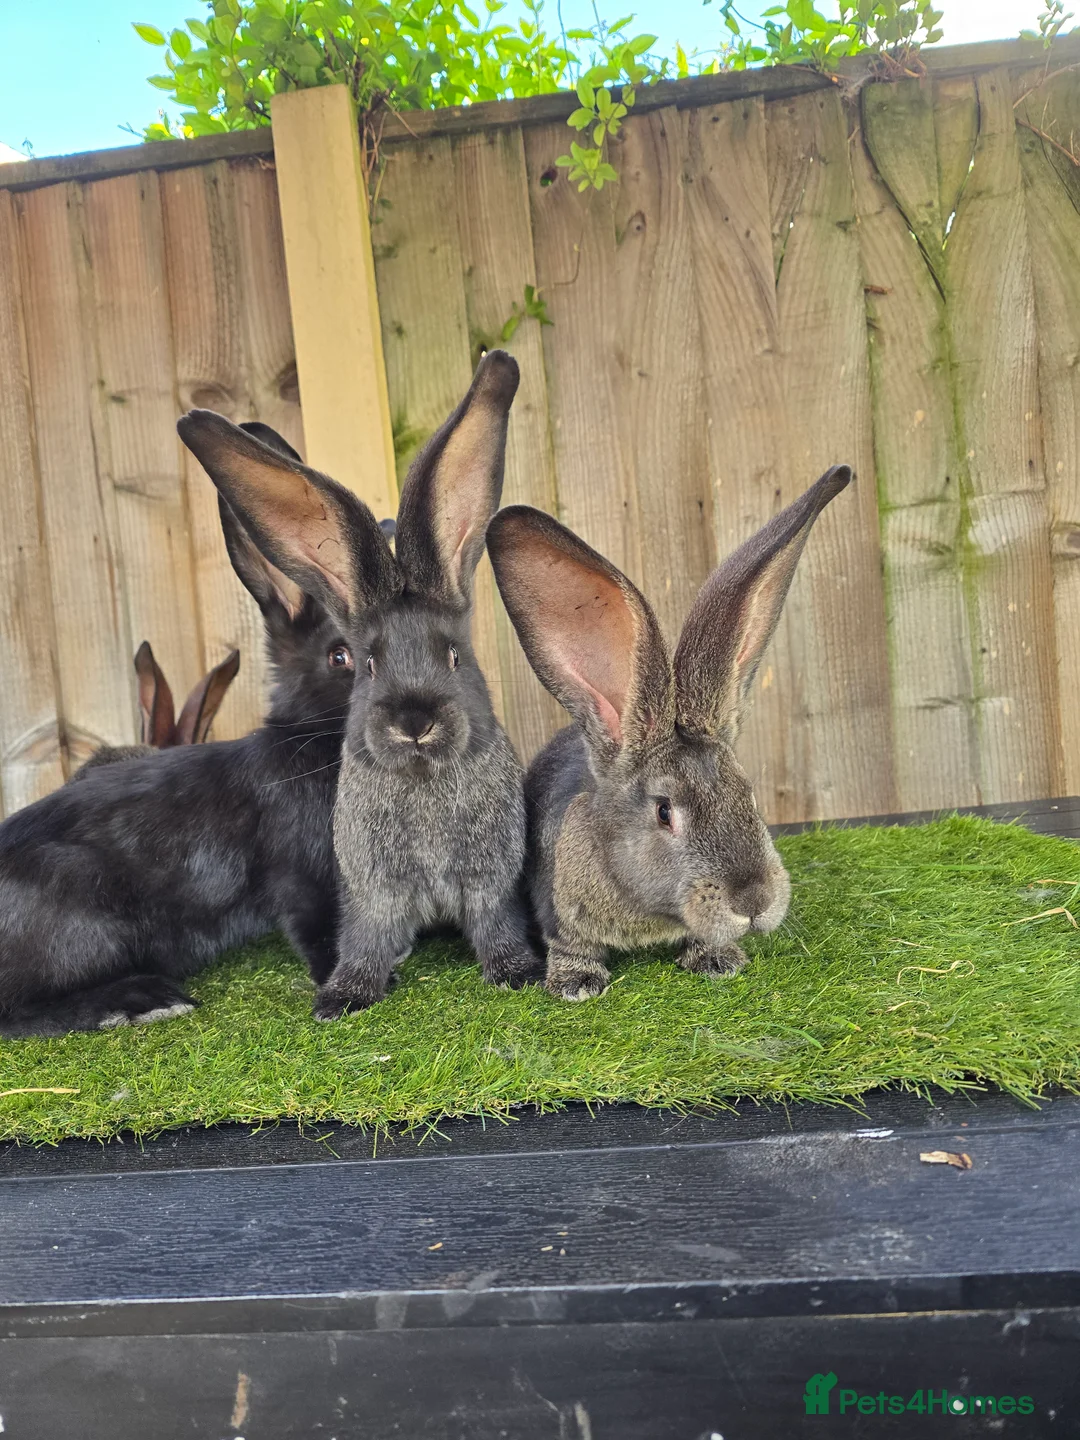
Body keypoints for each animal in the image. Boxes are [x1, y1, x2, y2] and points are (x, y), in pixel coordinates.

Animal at [177, 349, 538, 1018]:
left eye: (454, 656)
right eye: (366, 663)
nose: (415, 722)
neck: (422, 780)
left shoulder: (489, 881)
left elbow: (495, 925)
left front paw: (518, 972)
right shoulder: (372, 891)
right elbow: (365, 940)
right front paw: (343, 998)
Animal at [485, 464, 853, 1000]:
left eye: (749, 796)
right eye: (664, 812)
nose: (754, 903)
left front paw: (717, 959)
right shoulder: (559, 912)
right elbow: (571, 945)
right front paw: (577, 984)